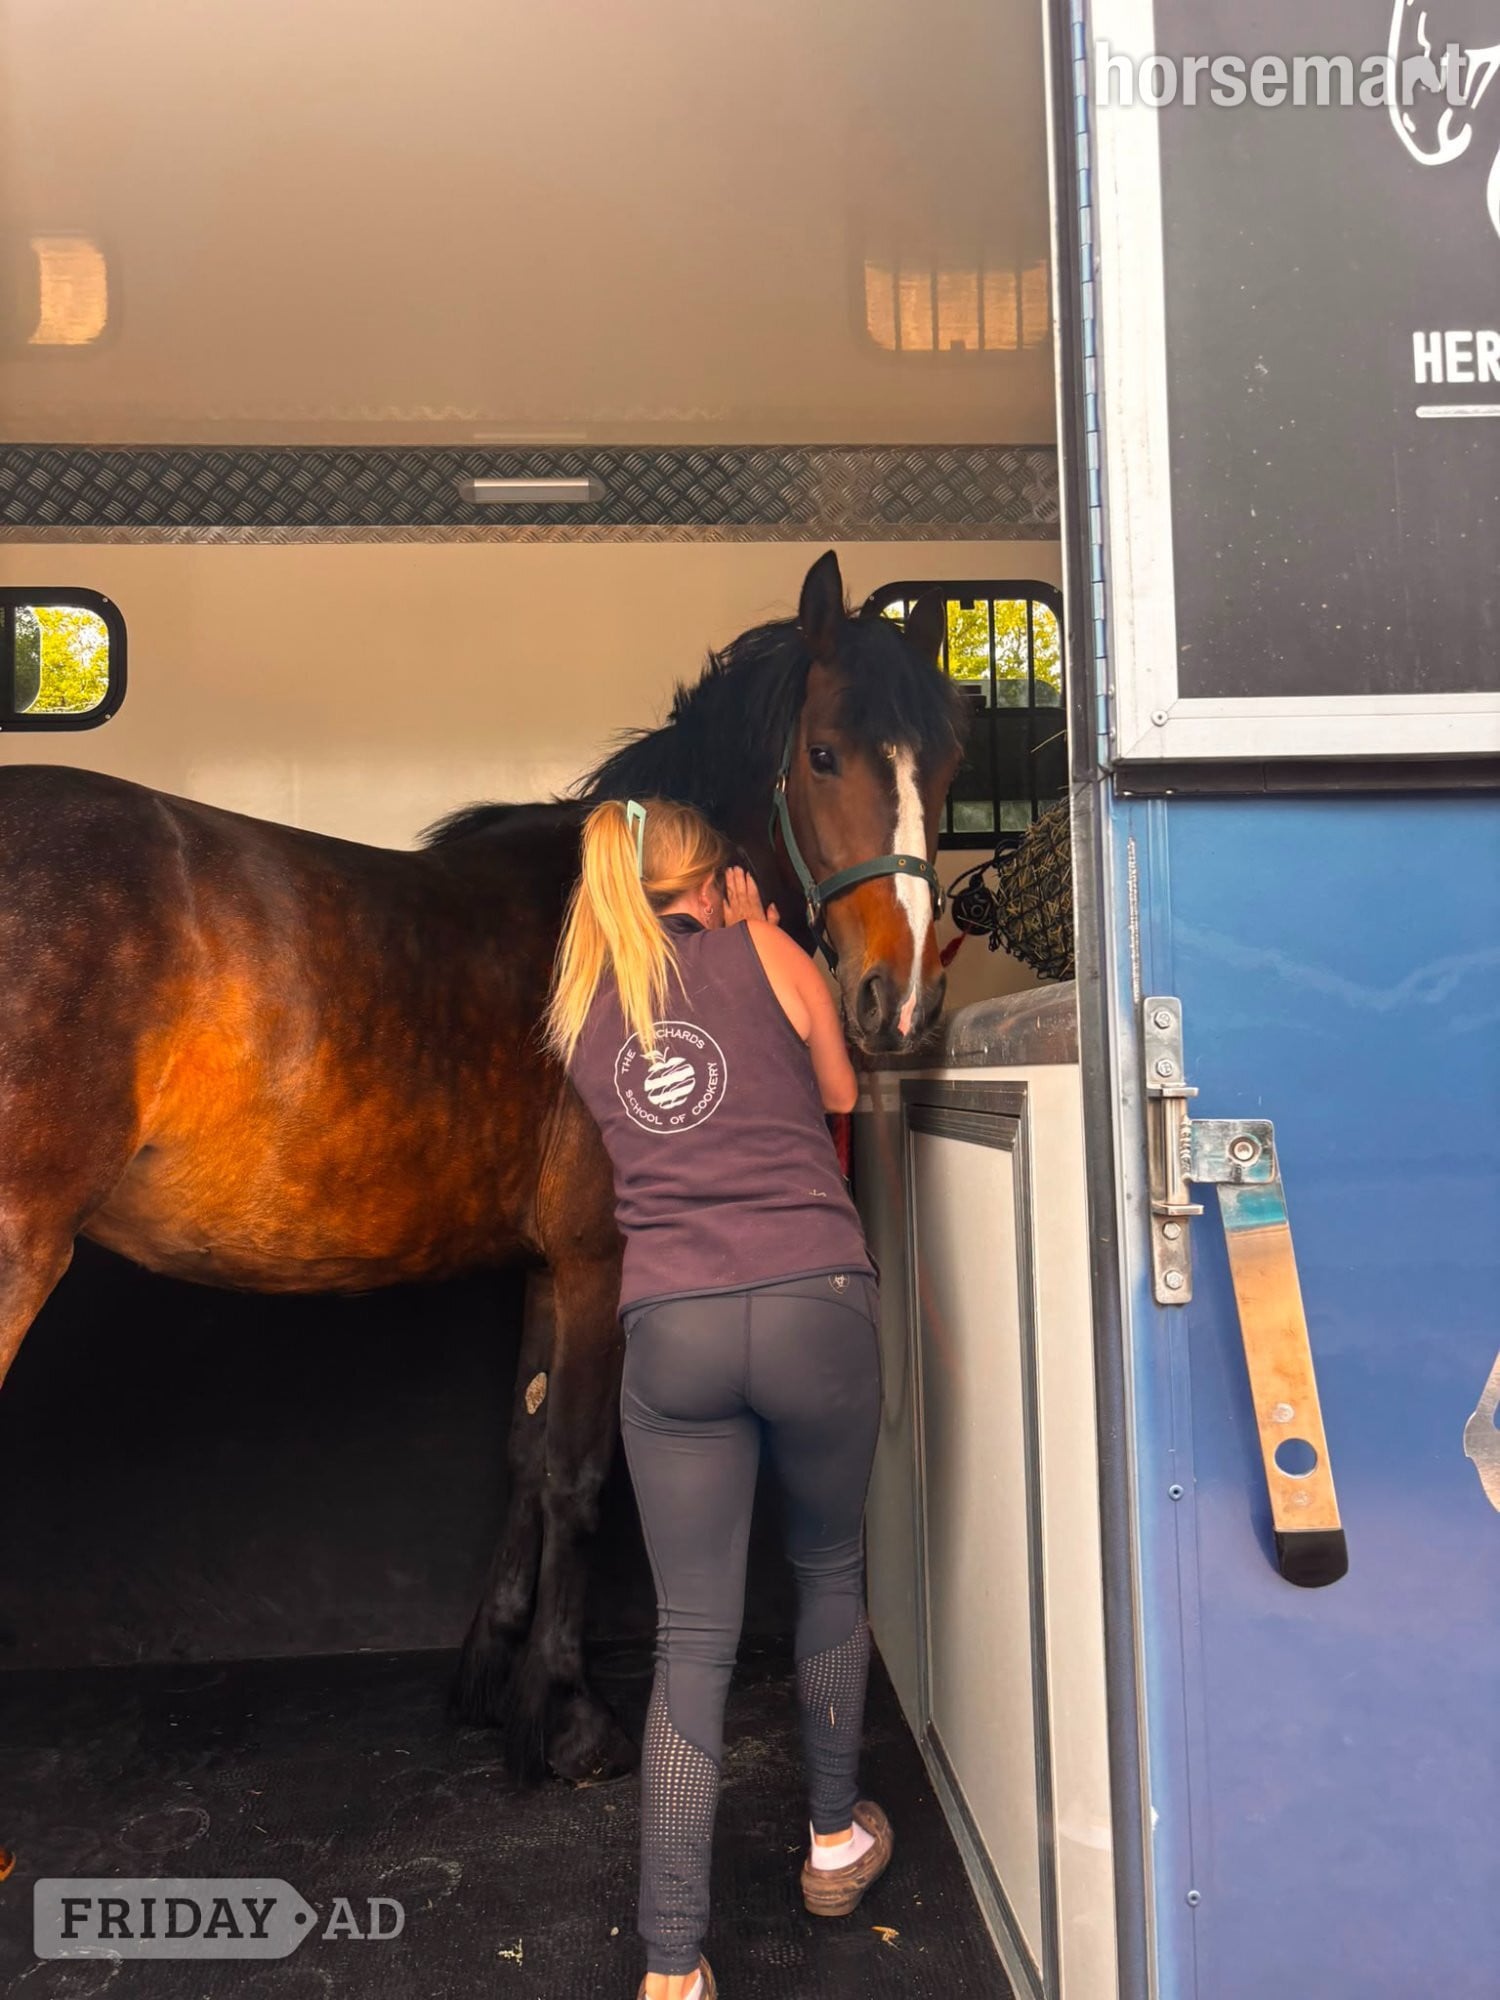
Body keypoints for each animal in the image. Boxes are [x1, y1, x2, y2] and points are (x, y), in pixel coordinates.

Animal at [0, 550, 962, 1780]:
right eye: (827, 752)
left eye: (946, 766)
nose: (901, 1001)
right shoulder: (603, 1261)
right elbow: (581, 1475)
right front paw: (569, 1712)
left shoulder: (550, 1265)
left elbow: (525, 1452)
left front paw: (492, 1675)